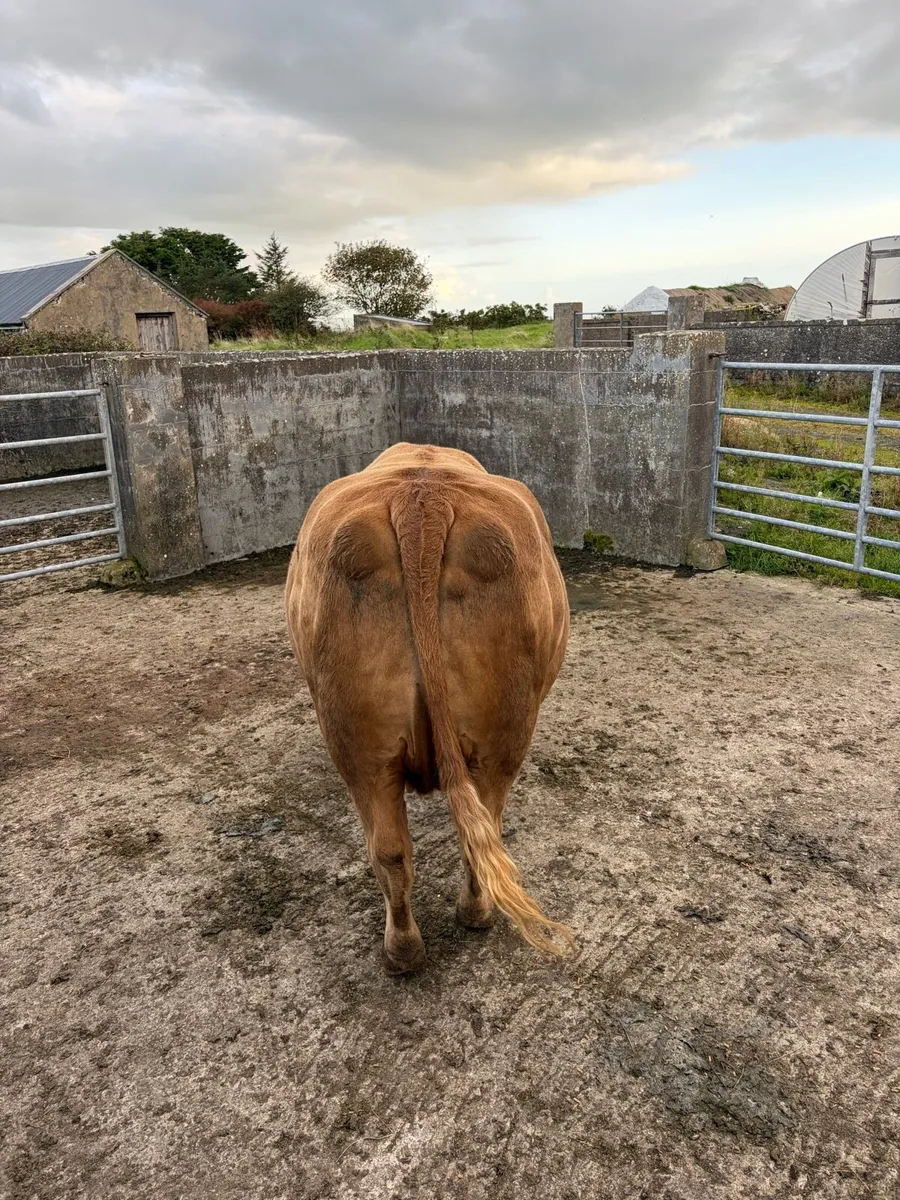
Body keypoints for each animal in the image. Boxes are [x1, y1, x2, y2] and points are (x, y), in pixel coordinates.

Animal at [284, 443, 572, 973]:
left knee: (394, 848)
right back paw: (466, 919)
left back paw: (406, 949)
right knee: (470, 830)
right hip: (497, 737)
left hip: (363, 742)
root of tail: (423, 498)